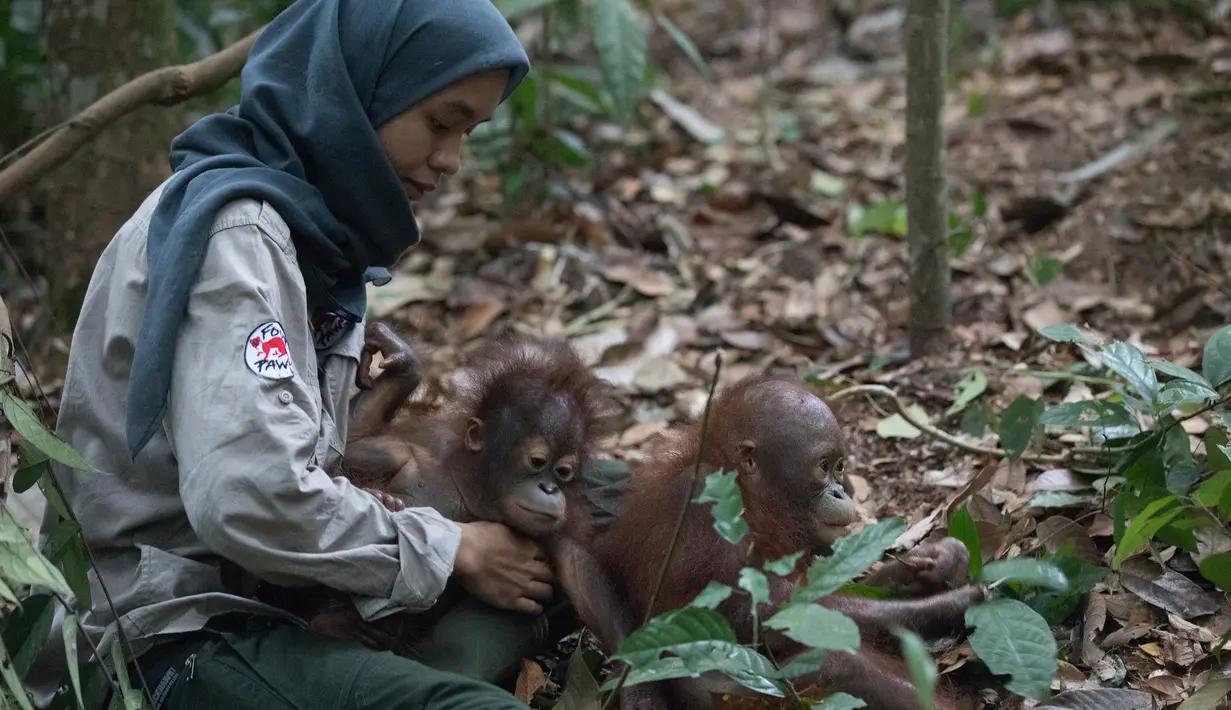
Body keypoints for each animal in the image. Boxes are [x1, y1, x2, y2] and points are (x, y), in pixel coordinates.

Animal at [580, 374, 985, 710]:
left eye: (840, 466)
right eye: (823, 467)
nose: (841, 491)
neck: (747, 499)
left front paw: (939, 561)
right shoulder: (701, 503)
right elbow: (758, 612)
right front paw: (943, 608)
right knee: (839, 665)